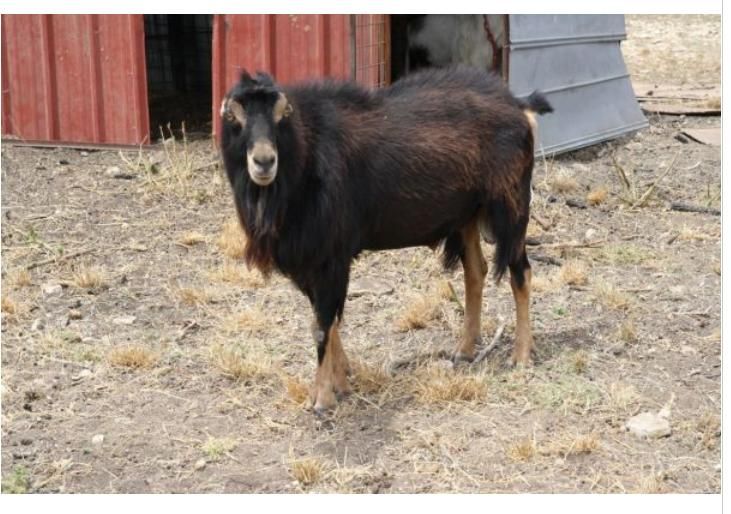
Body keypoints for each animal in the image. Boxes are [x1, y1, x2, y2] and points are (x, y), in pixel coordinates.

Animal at [219, 66, 553, 413]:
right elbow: (327, 320)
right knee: (476, 270)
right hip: (467, 215)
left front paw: (323, 398)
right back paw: (464, 349)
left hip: (511, 205)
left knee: (521, 273)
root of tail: (520, 106)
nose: (264, 161)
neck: (305, 156)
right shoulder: (311, 261)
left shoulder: (331, 256)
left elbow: (322, 326)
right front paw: (341, 380)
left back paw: (521, 355)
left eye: (282, 115)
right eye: (233, 118)